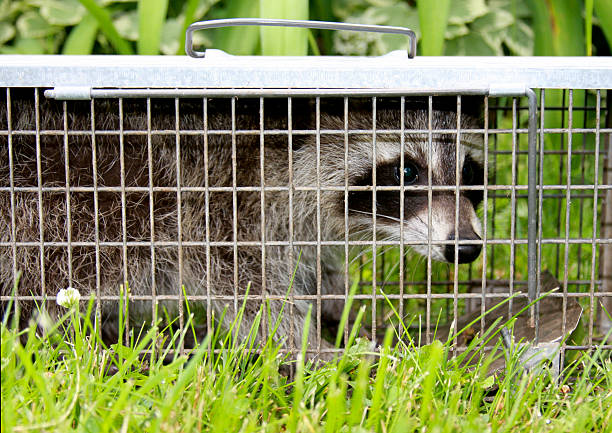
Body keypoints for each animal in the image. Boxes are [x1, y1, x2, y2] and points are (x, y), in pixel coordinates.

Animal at [0, 92, 482, 354]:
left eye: (470, 172)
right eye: (407, 172)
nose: (466, 246)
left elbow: (312, 267)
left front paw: (337, 302)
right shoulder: (216, 198)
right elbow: (245, 285)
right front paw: (311, 348)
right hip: (58, 200)